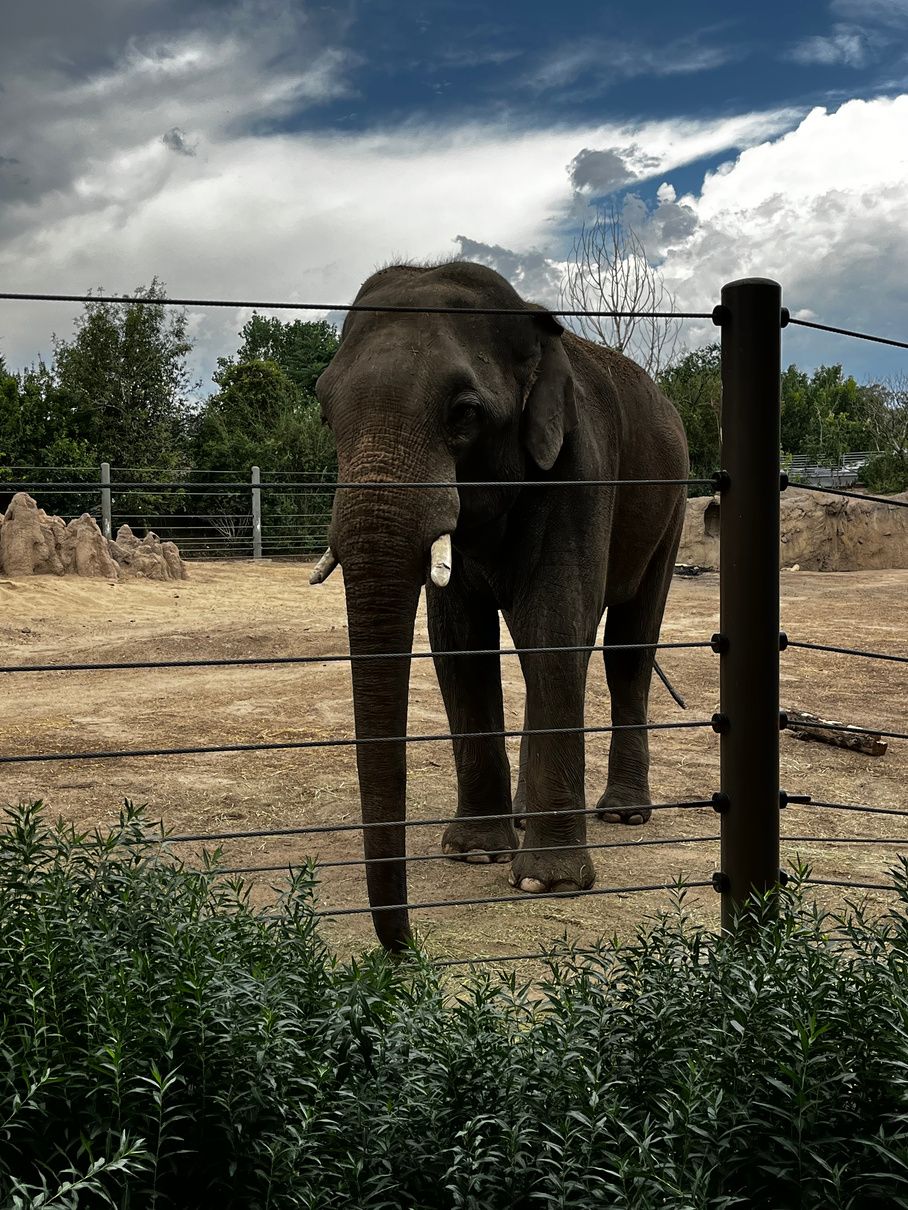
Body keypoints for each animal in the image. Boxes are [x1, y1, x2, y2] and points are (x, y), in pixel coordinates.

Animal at [312, 261, 689, 951]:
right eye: (325, 412)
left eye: (464, 412)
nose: (404, 948)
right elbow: (459, 643)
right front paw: (475, 853)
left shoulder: (581, 469)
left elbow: (555, 625)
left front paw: (547, 882)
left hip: (670, 504)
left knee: (626, 648)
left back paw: (623, 815)